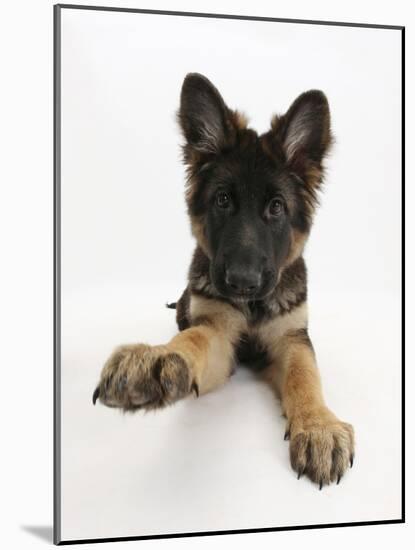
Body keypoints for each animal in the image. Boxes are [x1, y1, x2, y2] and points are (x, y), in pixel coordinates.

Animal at [93, 73, 354, 492]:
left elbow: (305, 374)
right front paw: (158, 358)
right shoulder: (218, 333)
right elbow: (195, 340)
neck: (252, 307)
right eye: (223, 200)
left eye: (276, 207)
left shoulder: (292, 336)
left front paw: (318, 426)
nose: (242, 283)